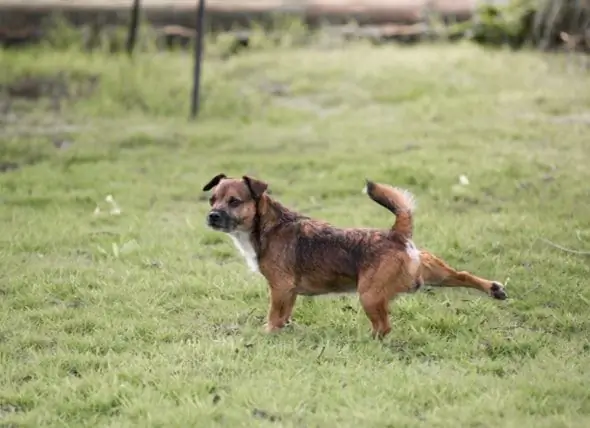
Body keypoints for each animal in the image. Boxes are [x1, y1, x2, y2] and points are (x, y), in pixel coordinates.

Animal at [204, 173, 508, 338]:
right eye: (212, 199)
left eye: (234, 201)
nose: (212, 215)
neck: (266, 225)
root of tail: (397, 235)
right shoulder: (287, 293)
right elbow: (283, 316)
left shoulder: (280, 288)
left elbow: (274, 316)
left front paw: (267, 334)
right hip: (434, 272)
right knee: (463, 275)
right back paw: (494, 289)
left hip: (369, 295)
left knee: (383, 326)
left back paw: (367, 340)